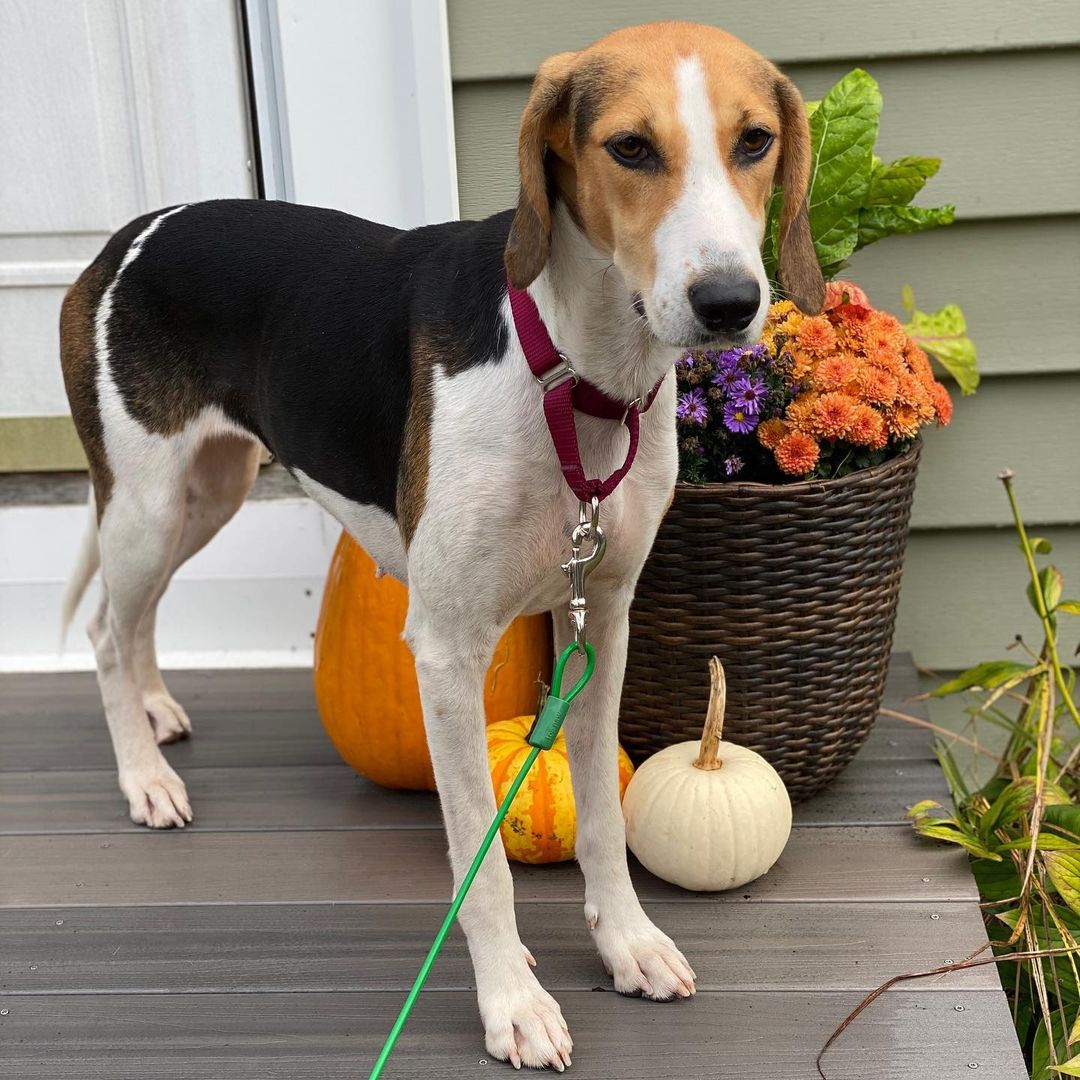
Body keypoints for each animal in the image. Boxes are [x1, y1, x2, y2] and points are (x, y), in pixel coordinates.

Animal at [61, 21, 816, 1067]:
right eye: (630, 148)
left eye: (755, 142)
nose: (729, 301)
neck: (573, 374)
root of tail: (133, 233)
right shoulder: (449, 654)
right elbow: (483, 865)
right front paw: (513, 1005)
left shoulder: (602, 622)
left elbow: (603, 816)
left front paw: (627, 944)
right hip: (145, 505)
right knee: (103, 628)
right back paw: (144, 778)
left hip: (208, 494)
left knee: (136, 620)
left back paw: (158, 713)